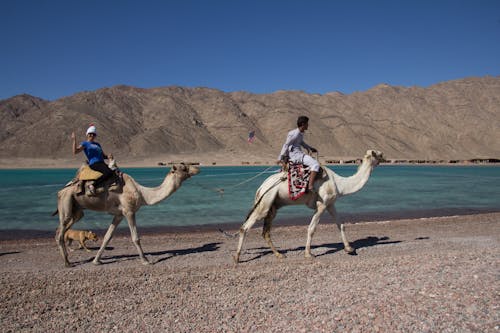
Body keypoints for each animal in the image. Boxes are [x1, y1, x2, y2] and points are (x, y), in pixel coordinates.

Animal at [54, 163, 199, 268]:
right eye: (184, 167)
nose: (197, 168)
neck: (143, 194)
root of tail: (61, 191)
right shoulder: (129, 211)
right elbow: (135, 237)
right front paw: (146, 260)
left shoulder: (119, 215)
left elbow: (107, 236)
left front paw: (96, 261)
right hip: (66, 204)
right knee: (60, 233)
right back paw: (67, 263)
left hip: (77, 211)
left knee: (62, 229)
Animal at [233, 150, 382, 262]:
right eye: (377, 154)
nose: (383, 156)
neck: (339, 184)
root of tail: (261, 188)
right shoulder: (321, 204)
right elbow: (311, 228)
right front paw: (308, 254)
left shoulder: (330, 204)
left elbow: (341, 225)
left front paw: (349, 248)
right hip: (266, 202)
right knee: (246, 227)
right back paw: (237, 257)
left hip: (272, 206)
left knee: (265, 232)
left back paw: (279, 254)